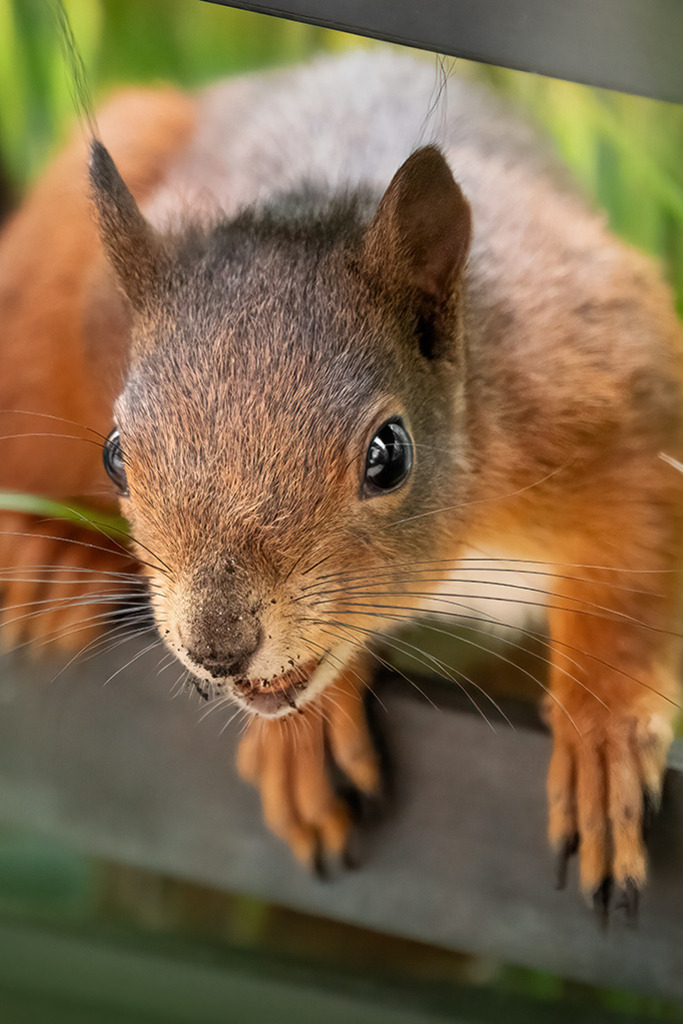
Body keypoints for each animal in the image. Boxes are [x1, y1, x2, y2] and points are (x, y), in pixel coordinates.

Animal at [0, 50, 682, 918]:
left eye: (388, 454)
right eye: (116, 455)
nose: (218, 648)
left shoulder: (604, 378)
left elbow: (631, 567)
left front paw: (602, 738)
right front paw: (308, 726)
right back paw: (52, 557)